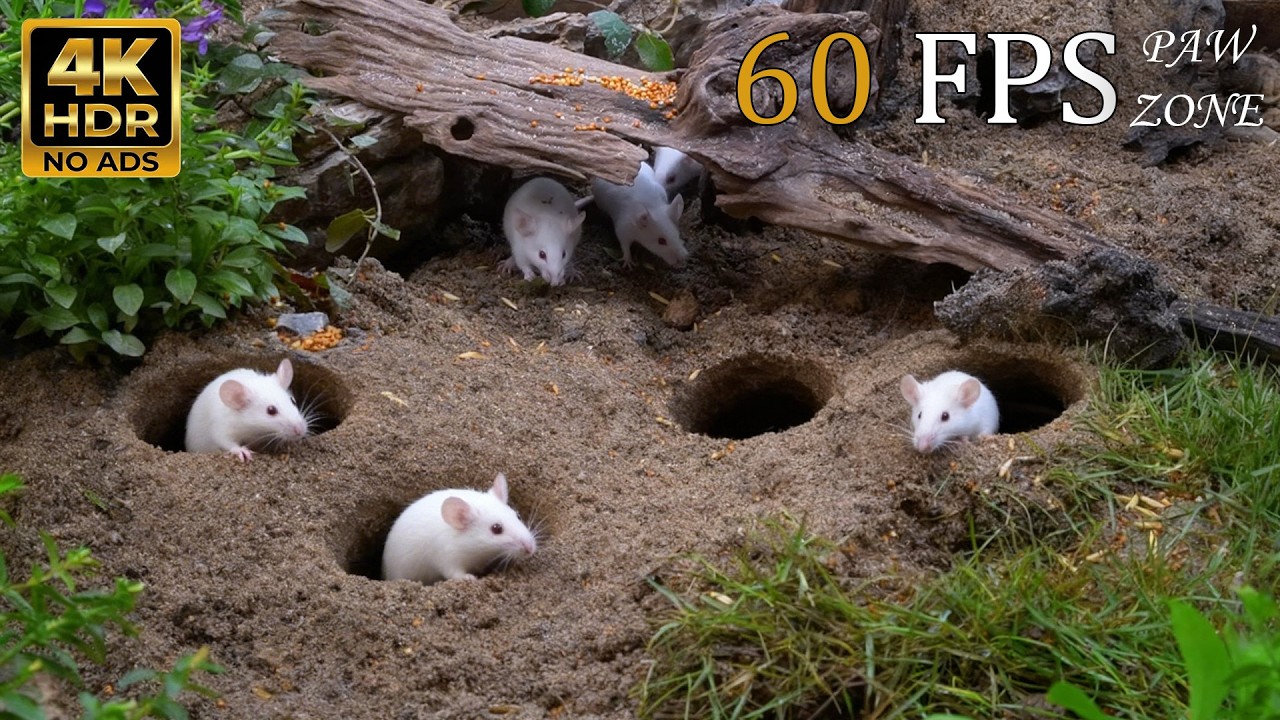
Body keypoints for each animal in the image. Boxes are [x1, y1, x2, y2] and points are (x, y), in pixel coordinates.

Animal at [382, 473, 537, 584]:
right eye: (496, 528)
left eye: (517, 515)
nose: (531, 549)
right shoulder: (448, 557)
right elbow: (454, 574)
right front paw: (469, 578)